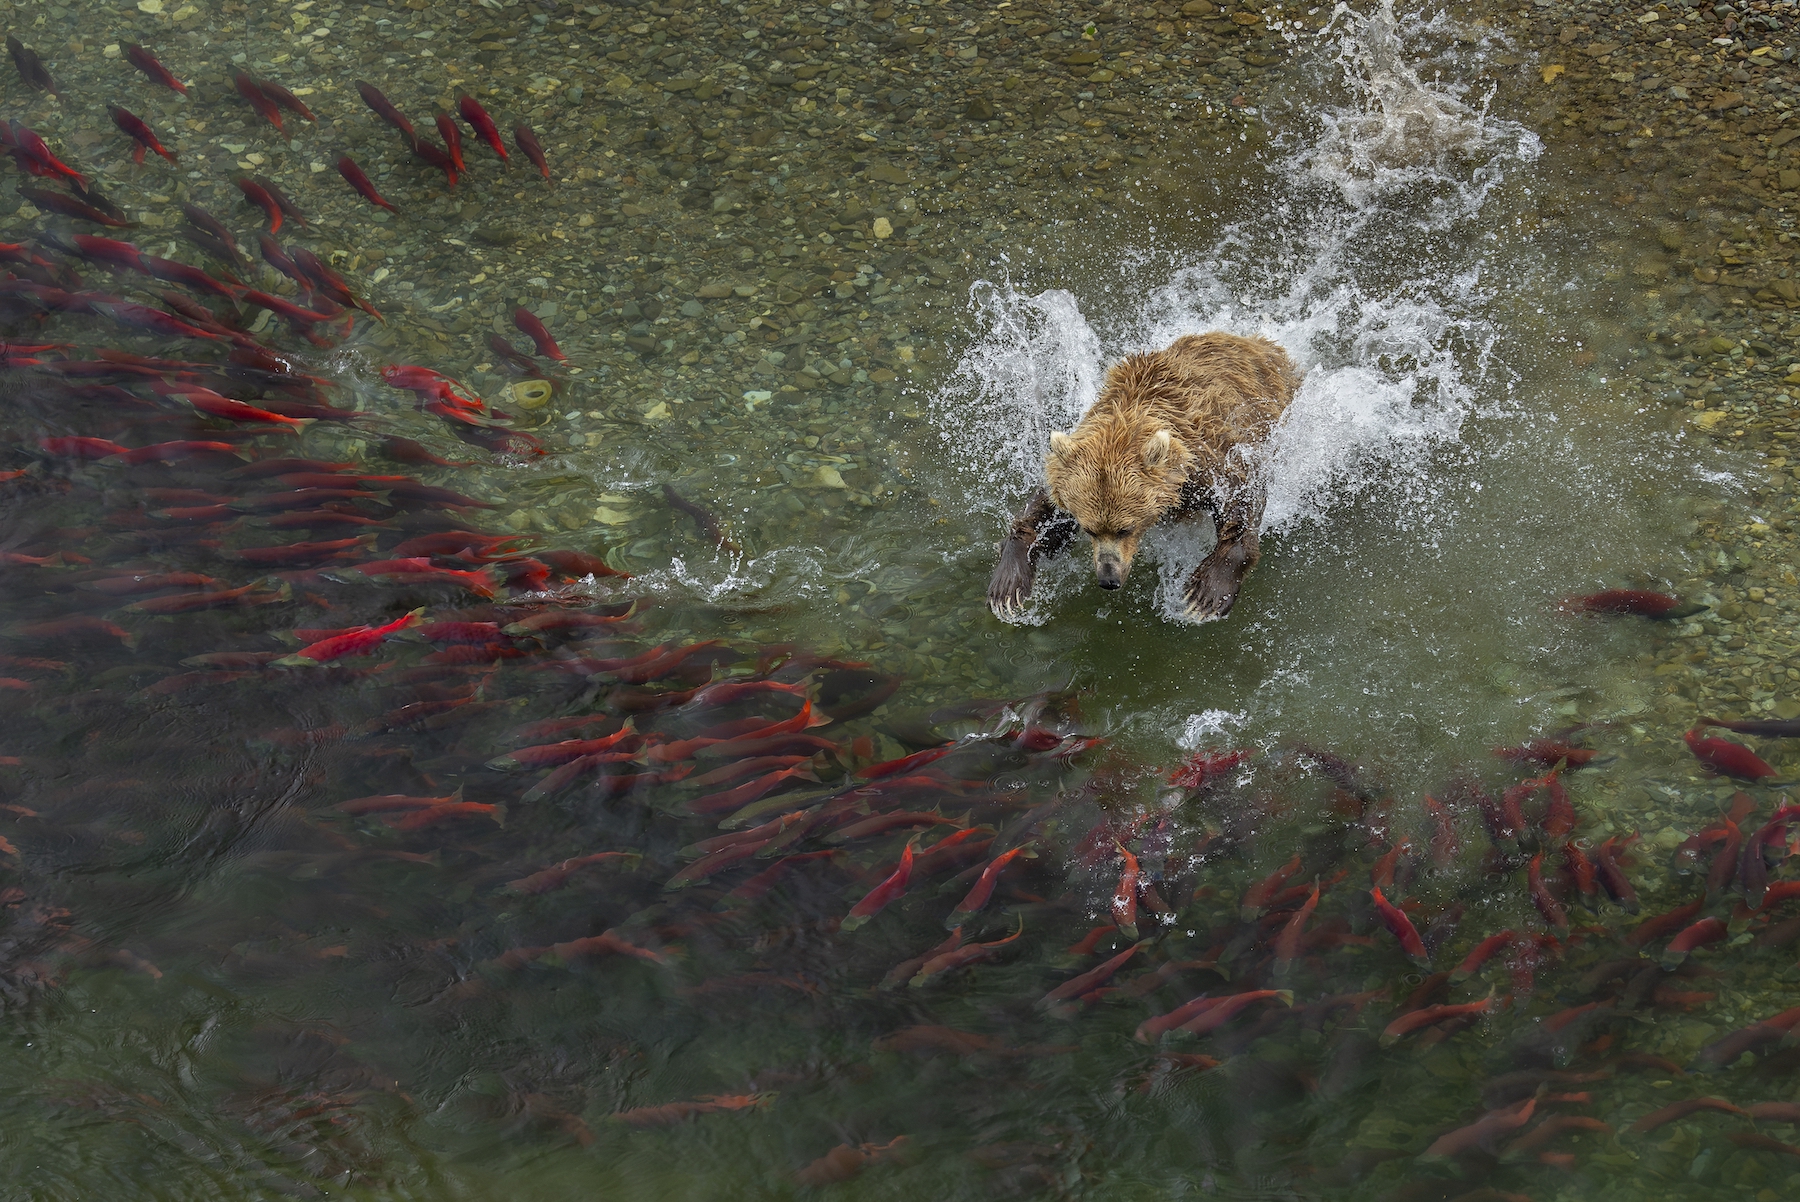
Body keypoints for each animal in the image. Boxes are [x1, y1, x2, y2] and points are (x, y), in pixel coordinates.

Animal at [987, 332, 1300, 623]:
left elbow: (1241, 501)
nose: (1108, 579)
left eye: (1126, 528)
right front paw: (1007, 586)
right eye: (1090, 529)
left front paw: (1206, 594)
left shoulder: (1213, 456)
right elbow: (1046, 513)